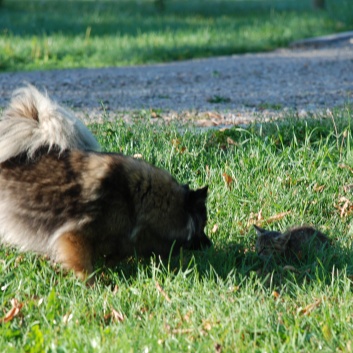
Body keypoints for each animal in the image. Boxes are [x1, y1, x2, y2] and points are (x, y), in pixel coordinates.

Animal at [0, 85, 212, 280]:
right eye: (202, 225)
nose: (209, 244)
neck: (135, 200)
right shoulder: (75, 235)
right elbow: (83, 265)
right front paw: (91, 284)